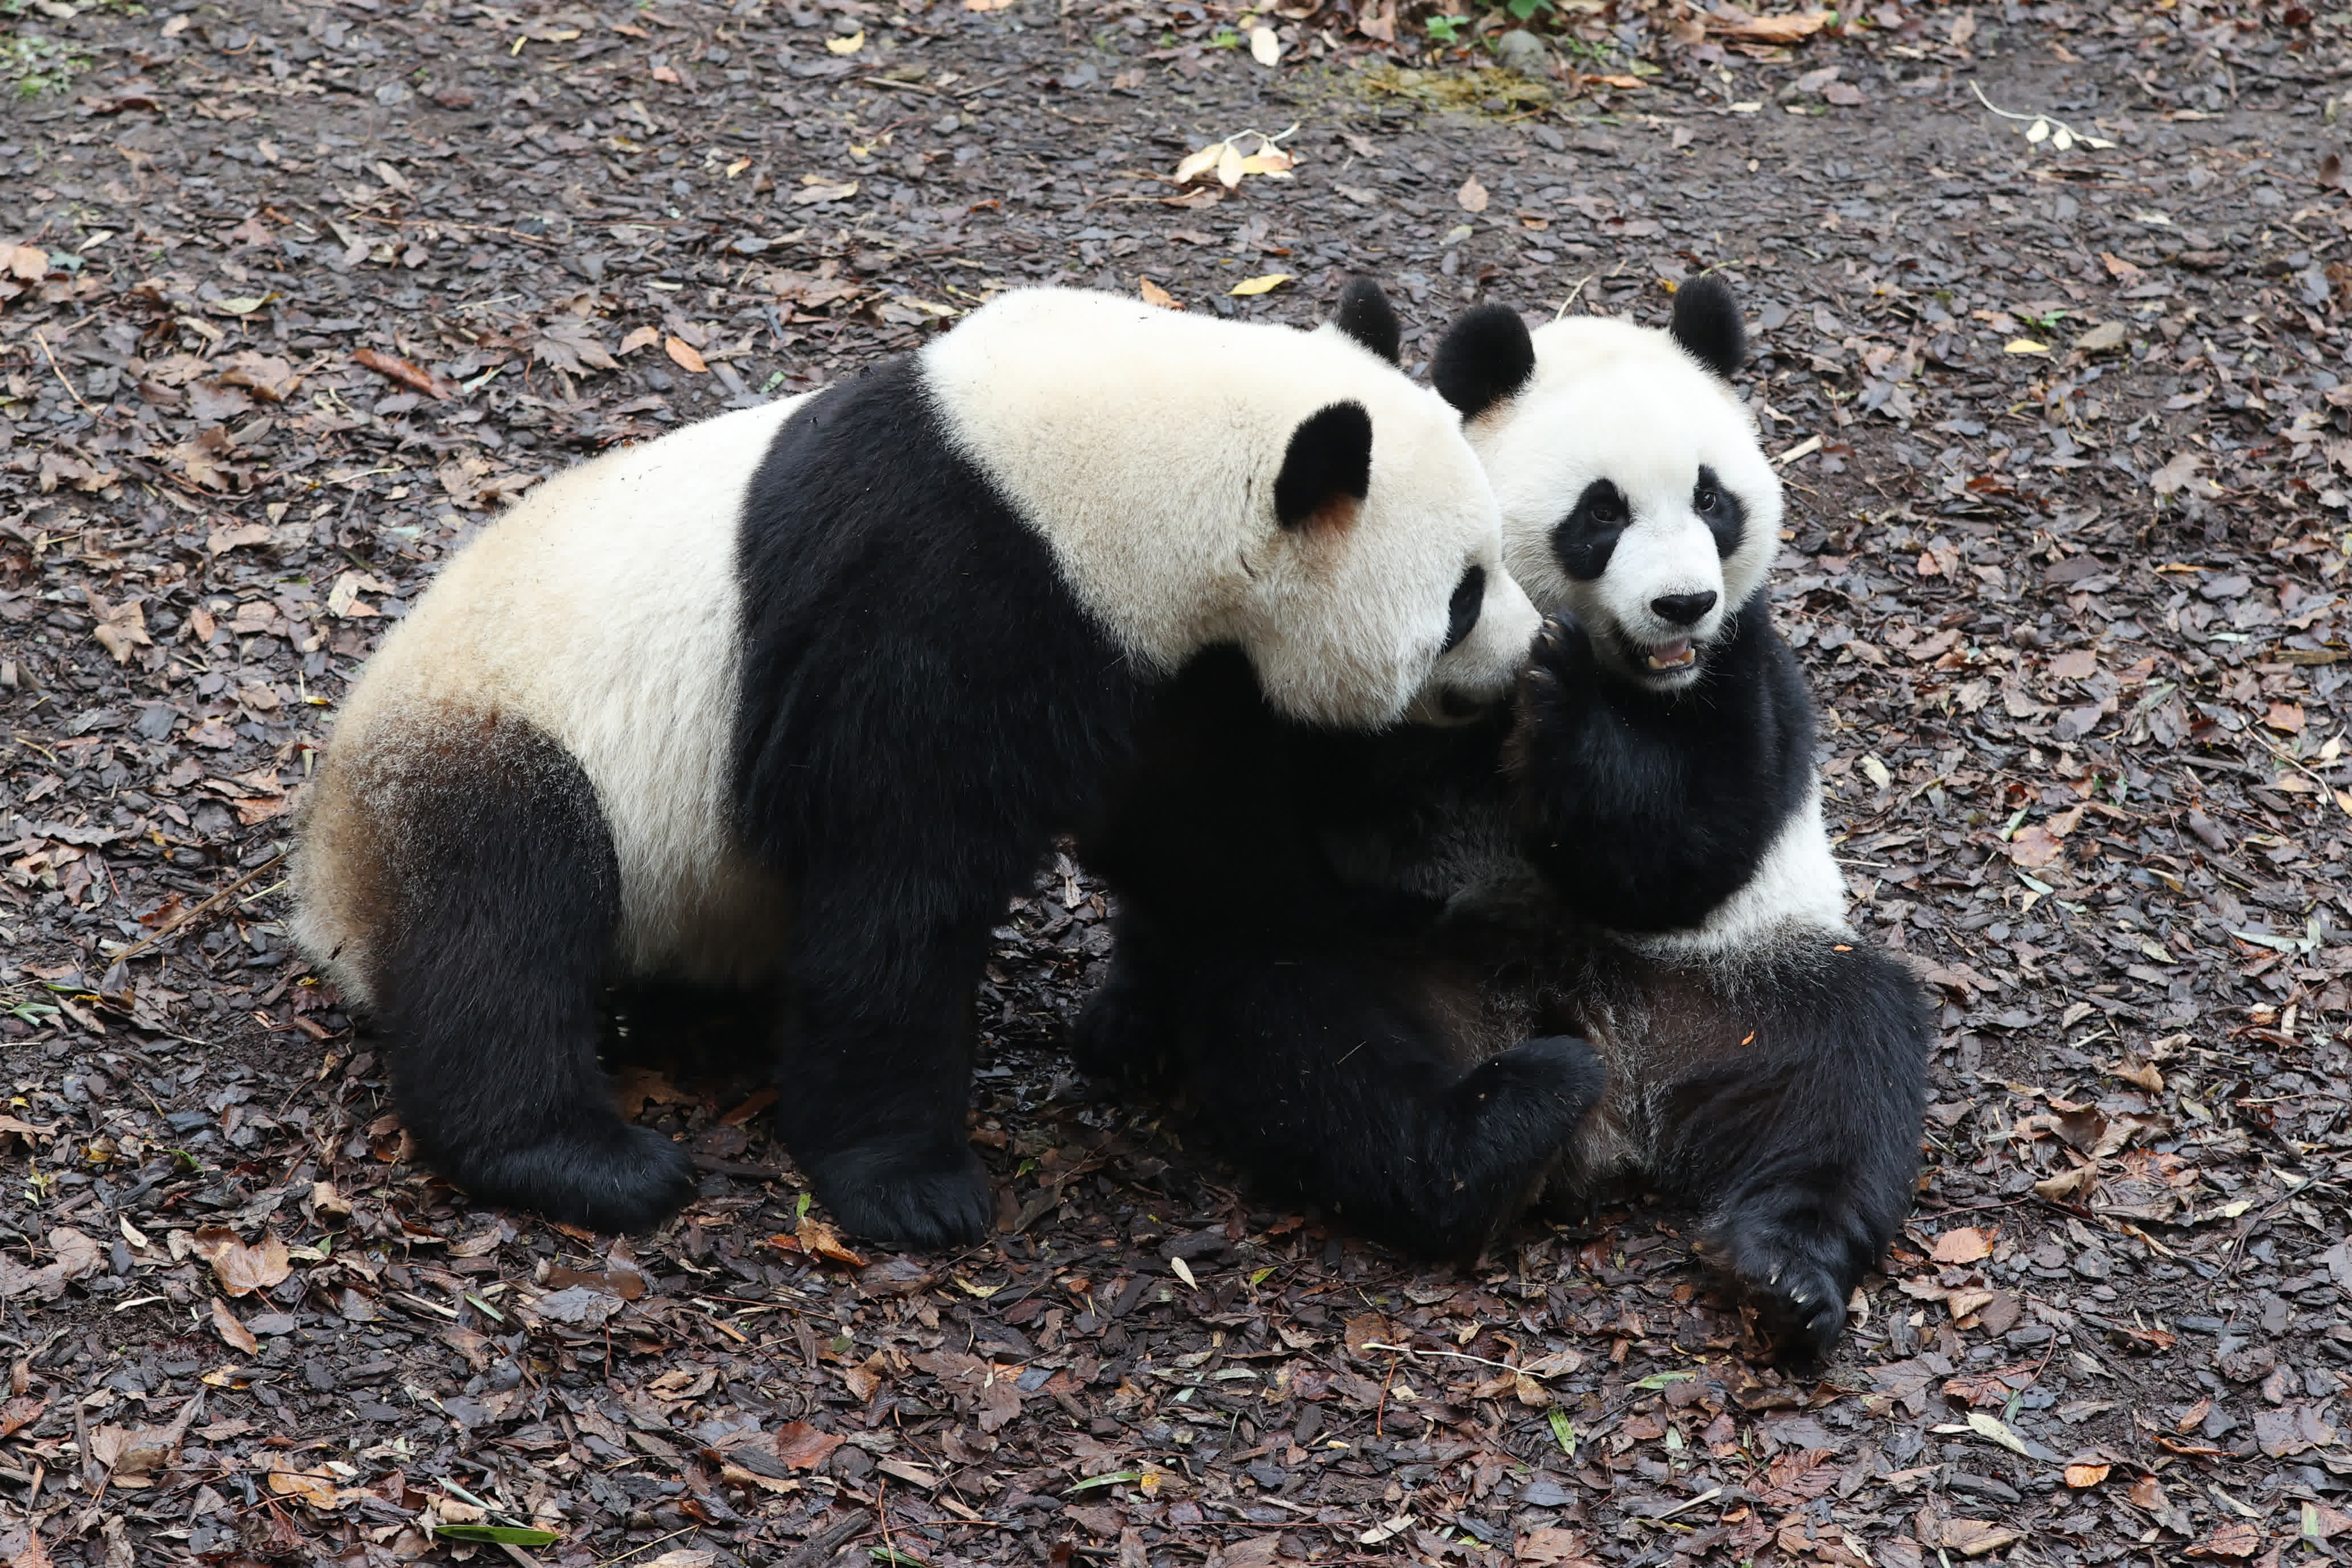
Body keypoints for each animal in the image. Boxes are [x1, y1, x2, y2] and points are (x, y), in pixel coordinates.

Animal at [289, 288, 1543, 1251]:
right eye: (1461, 594)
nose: (1532, 653)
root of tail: (324, 894)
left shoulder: (1164, 666)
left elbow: (1203, 846)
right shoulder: (946, 600)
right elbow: (897, 883)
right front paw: (912, 1188)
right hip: (485, 734)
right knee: (505, 907)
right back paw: (583, 1159)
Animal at [1077, 282, 1929, 1363]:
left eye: (1712, 499)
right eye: (1601, 510)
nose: (1682, 604)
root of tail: (1620, 1102)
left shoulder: (1743, 670)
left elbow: (1685, 852)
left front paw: (1561, 710)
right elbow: (1253, 828)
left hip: (1730, 985)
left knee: (1846, 1061)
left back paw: (1780, 1270)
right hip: (1408, 971)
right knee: (1313, 1035)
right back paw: (1485, 1148)